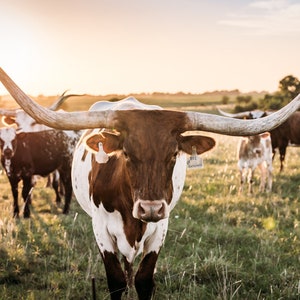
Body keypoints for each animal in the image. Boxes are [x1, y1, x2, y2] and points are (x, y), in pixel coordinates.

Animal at [0, 68, 300, 300]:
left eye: (174, 155)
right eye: (127, 154)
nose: (150, 209)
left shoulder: (160, 229)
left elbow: (144, 280)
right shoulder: (100, 228)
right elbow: (116, 281)